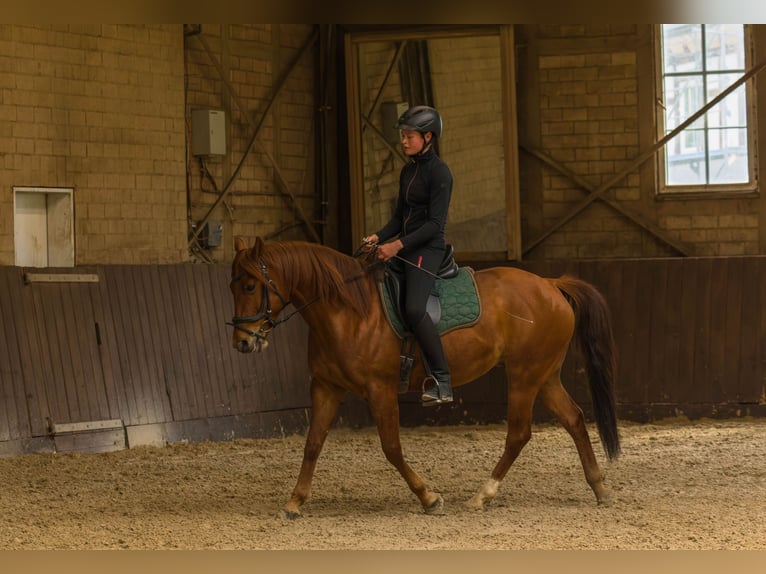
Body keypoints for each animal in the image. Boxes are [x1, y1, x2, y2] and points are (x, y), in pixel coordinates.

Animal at [228, 236, 616, 520]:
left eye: (250, 286)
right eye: (233, 287)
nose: (243, 343)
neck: (348, 311)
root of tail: (551, 284)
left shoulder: (380, 388)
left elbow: (391, 447)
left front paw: (428, 497)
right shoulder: (326, 387)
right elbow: (312, 445)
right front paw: (294, 502)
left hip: (524, 376)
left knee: (519, 434)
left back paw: (482, 495)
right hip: (544, 376)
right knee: (574, 419)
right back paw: (599, 488)